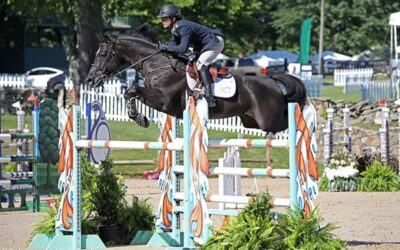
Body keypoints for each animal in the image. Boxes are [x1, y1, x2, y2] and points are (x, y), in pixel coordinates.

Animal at [86, 30, 306, 134]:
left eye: (103, 54)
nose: (89, 80)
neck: (157, 64)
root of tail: (271, 82)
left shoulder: (164, 100)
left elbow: (131, 90)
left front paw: (139, 118)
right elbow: (130, 92)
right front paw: (138, 117)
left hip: (267, 121)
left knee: (289, 122)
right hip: (250, 121)